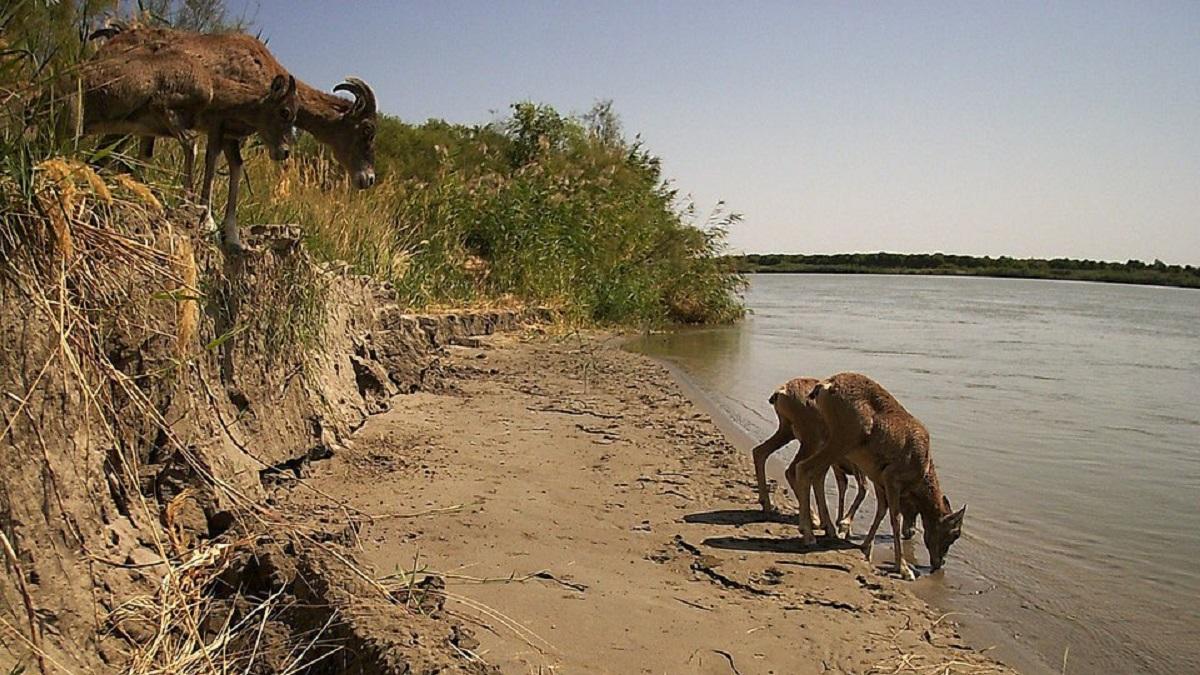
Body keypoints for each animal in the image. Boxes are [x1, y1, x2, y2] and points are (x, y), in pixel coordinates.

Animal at [792, 372, 969, 578]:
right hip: (842, 441)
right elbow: (894, 516)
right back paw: (809, 535)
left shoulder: (879, 479)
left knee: (816, 473)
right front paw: (904, 569)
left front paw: (865, 548)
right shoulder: (892, 479)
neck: (922, 464)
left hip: (831, 442)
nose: (939, 564)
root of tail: (826, 386)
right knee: (805, 468)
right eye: (954, 533)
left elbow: (881, 510)